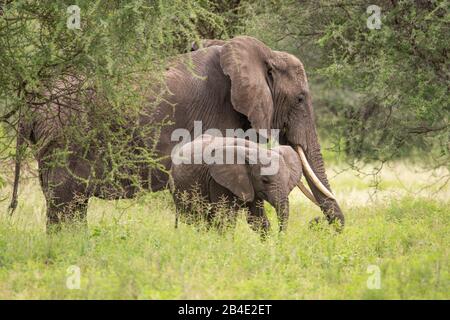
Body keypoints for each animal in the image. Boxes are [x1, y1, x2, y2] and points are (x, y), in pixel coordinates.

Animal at [170, 134, 302, 234]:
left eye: (288, 180)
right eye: (265, 180)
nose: (279, 238)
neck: (254, 151)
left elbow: (257, 220)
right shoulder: (217, 182)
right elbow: (225, 219)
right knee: (195, 218)